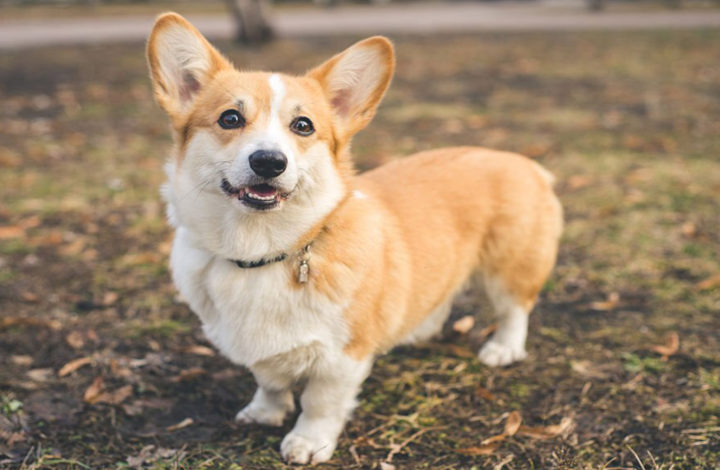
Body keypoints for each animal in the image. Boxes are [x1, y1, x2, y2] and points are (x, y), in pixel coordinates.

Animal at [145, 12, 564, 464]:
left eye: (303, 126)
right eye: (230, 119)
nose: (269, 162)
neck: (262, 250)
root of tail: (524, 162)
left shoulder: (341, 359)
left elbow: (320, 403)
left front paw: (308, 442)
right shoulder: (257, 348)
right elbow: (270, 381)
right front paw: (265, 412)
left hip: (508, 268)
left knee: (515, 309)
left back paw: (503, 349)